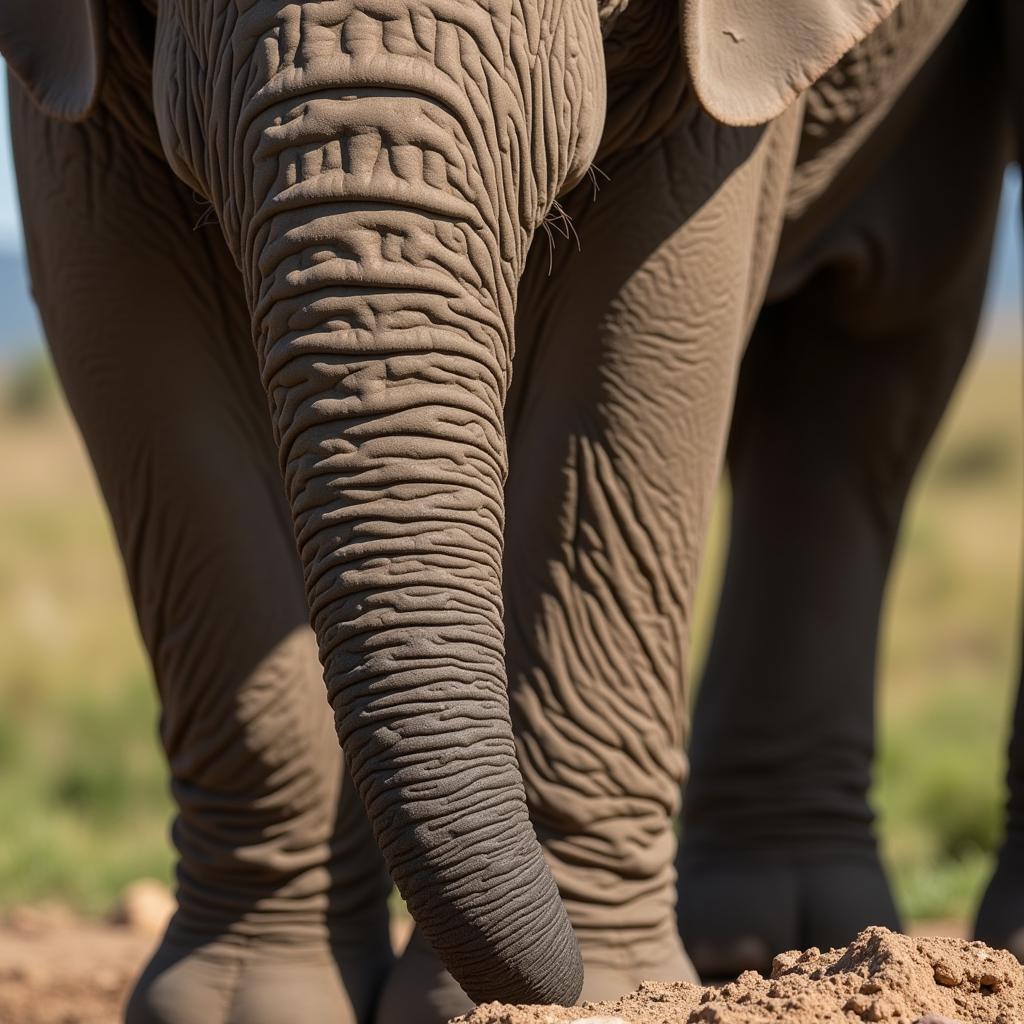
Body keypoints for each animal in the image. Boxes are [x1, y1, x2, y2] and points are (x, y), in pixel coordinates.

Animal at [2, 0, 999, 1019]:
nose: (562, 977)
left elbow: (638, 352)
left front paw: (606, 993)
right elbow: (135, 351)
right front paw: (249, 1005)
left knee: (874, 339)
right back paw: (772, 948)